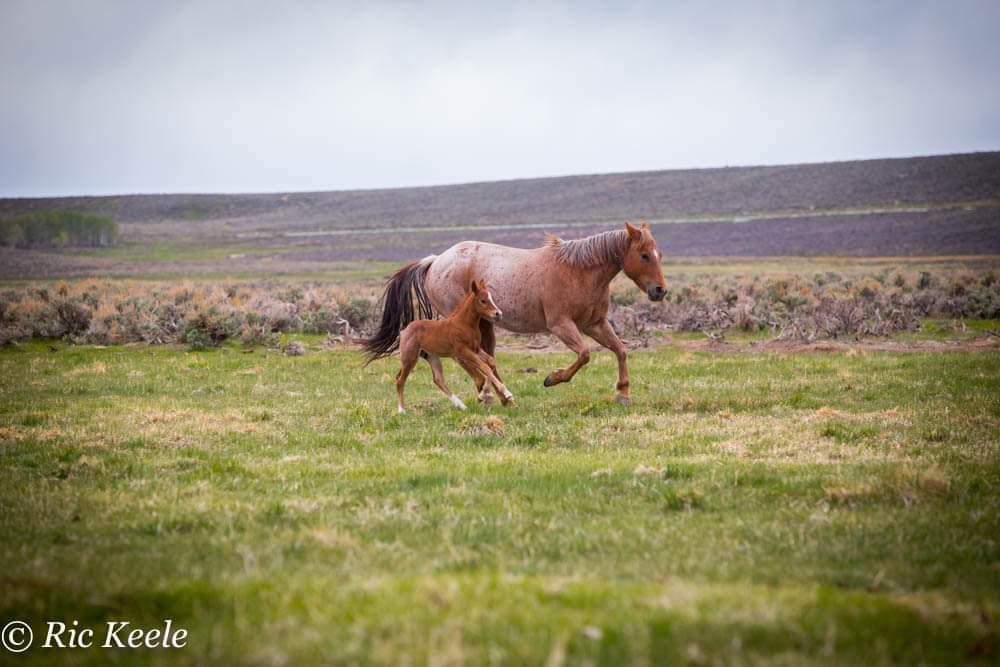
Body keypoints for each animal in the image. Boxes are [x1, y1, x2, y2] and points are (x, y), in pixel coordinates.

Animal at [392, 280, 512, 414]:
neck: (464, 324)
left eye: (491, 298)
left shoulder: (475, 349)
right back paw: (402, 410)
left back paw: (462, 406)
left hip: (432, 356)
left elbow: (491, 362)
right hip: (410, 358)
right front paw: (505, 393)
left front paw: (484, 394)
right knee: (400, 380)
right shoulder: (463, 351)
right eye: (482, 300)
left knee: (438, 379)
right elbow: (484, 367)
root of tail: (404, 330)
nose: (498, 314)